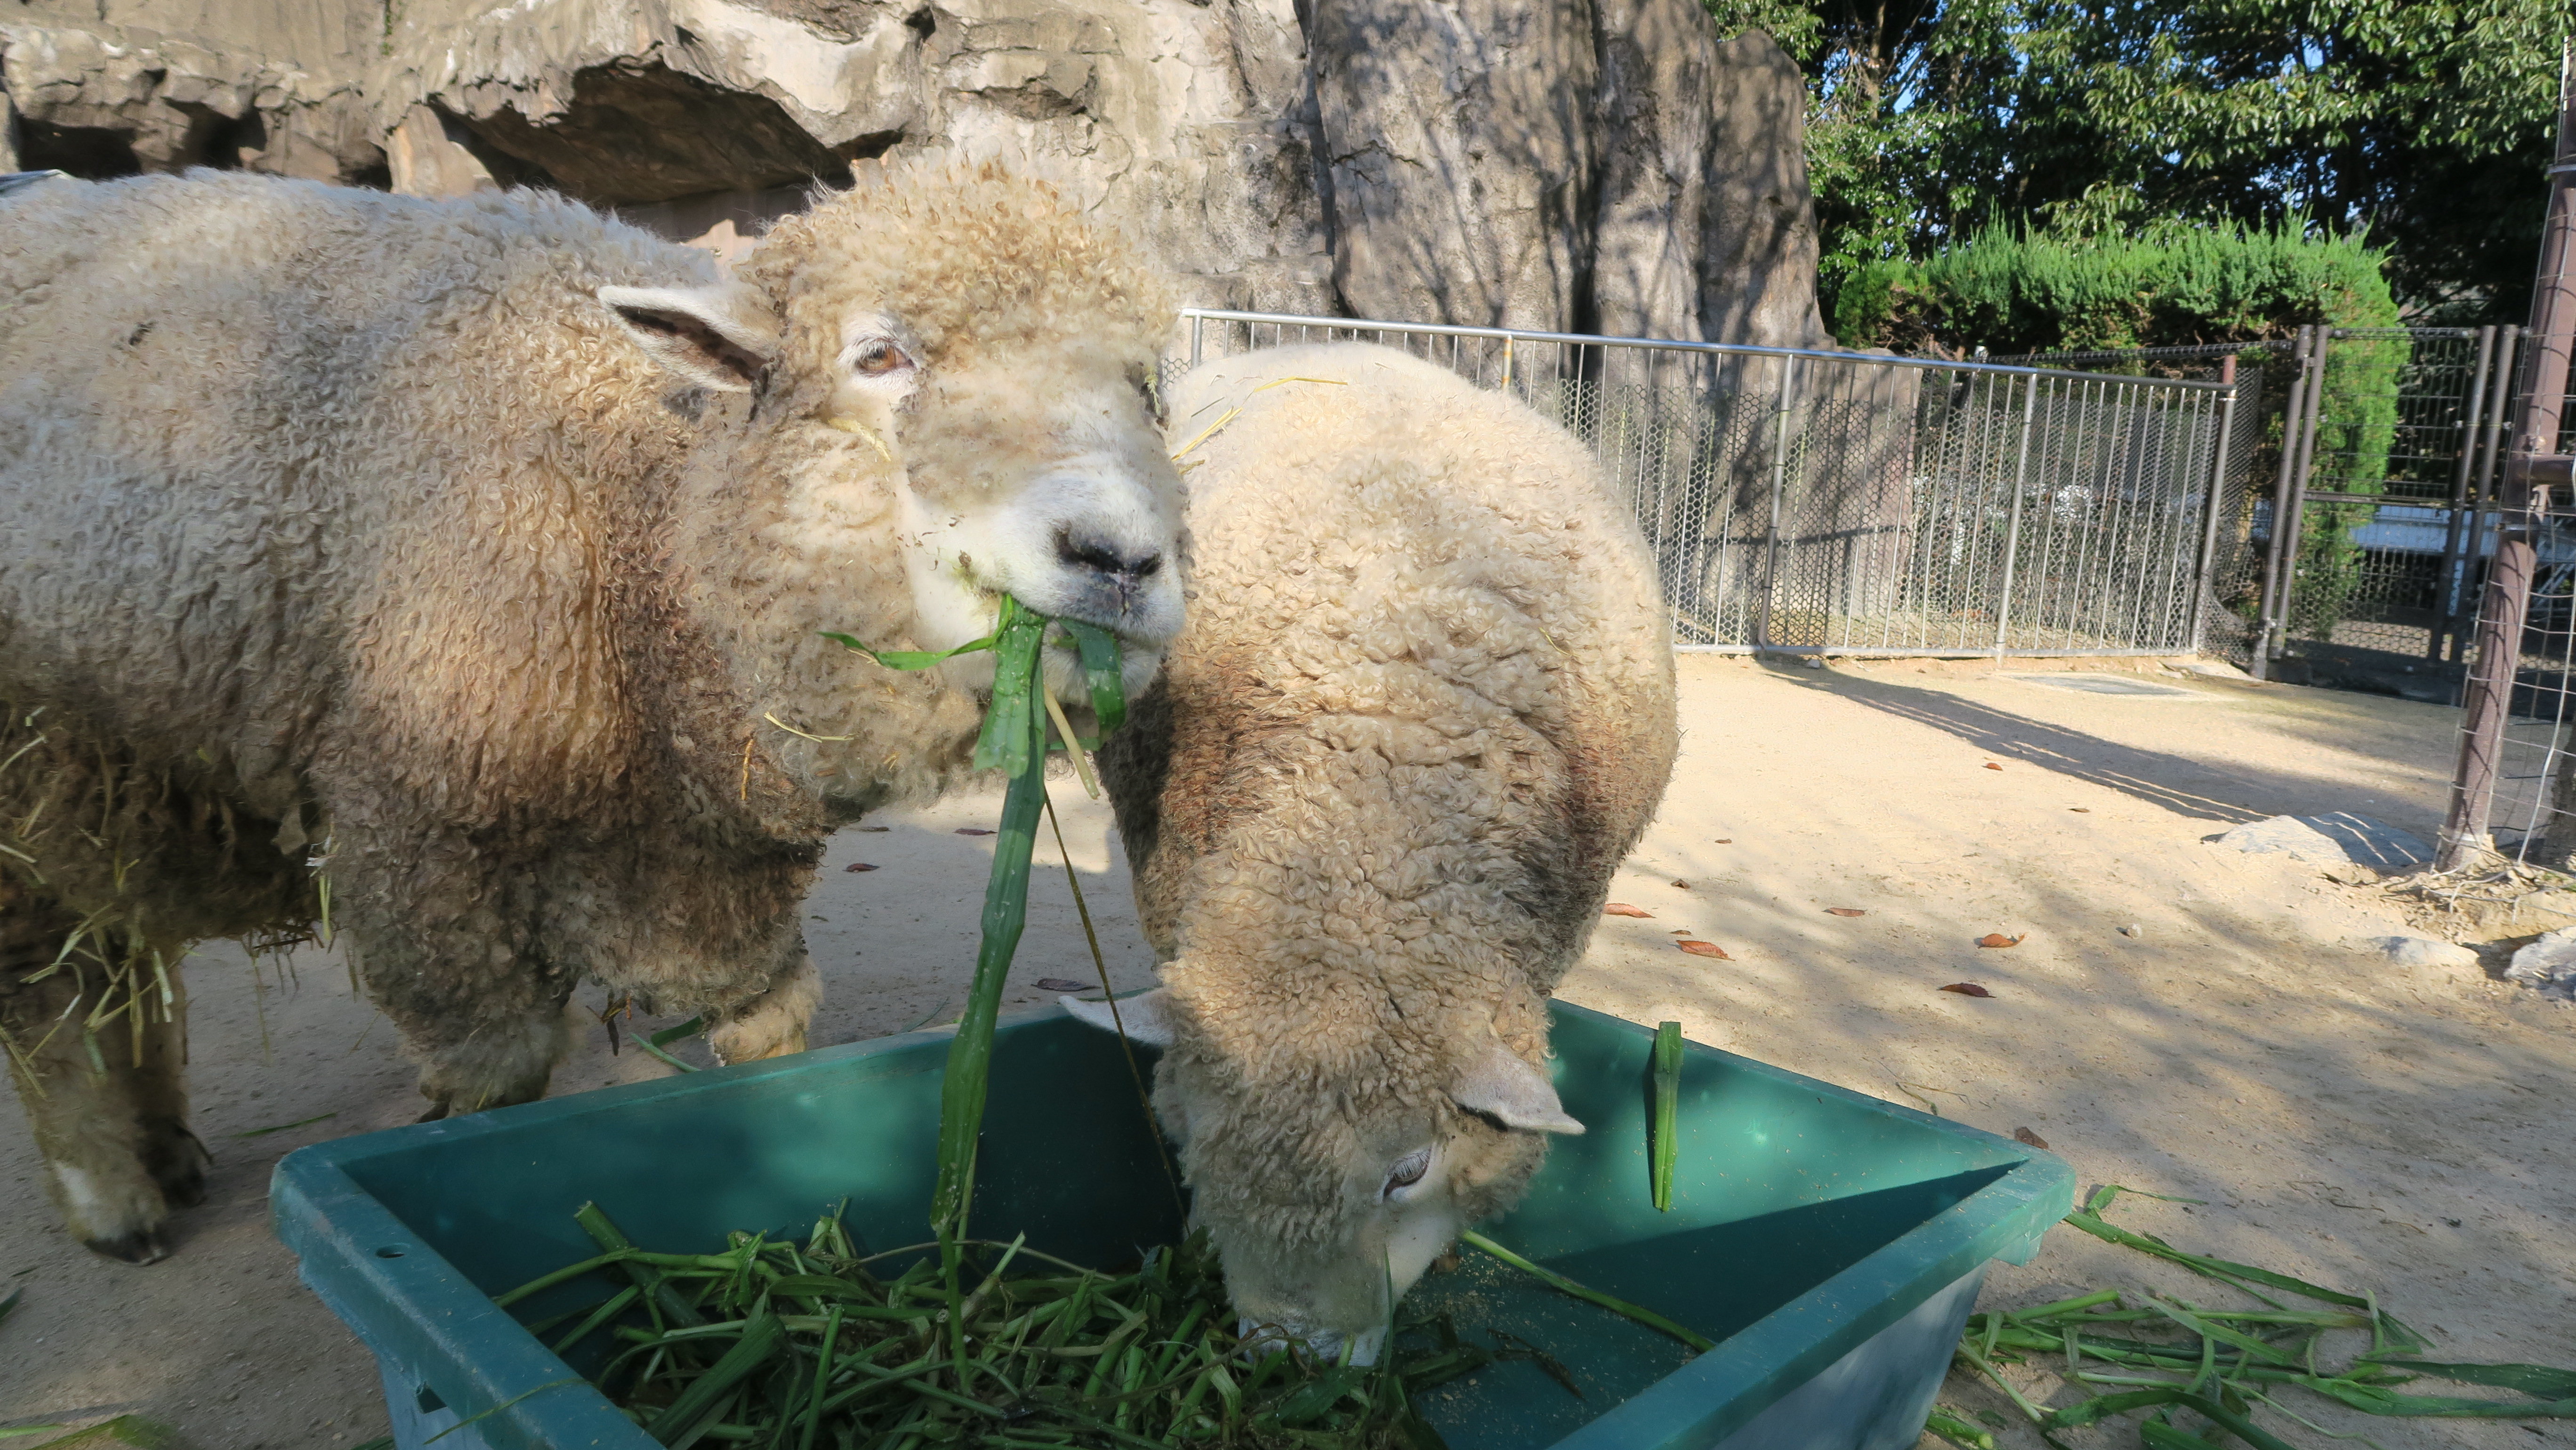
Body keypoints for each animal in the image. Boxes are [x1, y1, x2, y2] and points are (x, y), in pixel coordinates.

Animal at [0, 165, 1185, 1267]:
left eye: (1145, 385)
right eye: (879, 356)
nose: (1121, 560)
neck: (634, 514)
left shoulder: (716, 871)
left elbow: (773, 1031)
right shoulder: (418, 845)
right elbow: (495, 1074)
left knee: (121, 952)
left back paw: (165, 1147)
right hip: (30, 777)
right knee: (51, 996)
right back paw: (114, 1200)